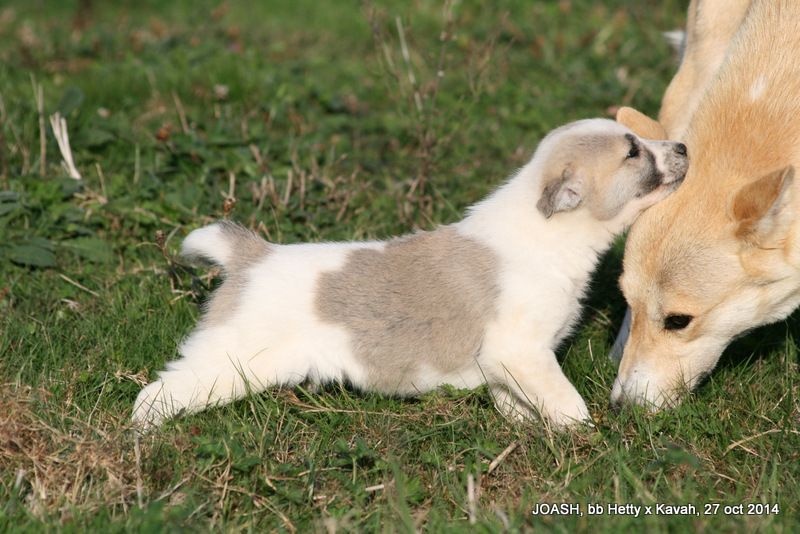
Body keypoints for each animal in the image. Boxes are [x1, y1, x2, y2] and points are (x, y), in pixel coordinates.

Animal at [133, 118, 688, 432]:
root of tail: (252, 255)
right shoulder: (523, 352)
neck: (547, 233)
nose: (683, 147)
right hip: (227, 362)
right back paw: (145, 433)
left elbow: (518, 403)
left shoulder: (510, 364)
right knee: (157, 393)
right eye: (633, 151)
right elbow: (566, 403)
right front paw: (585, 436)